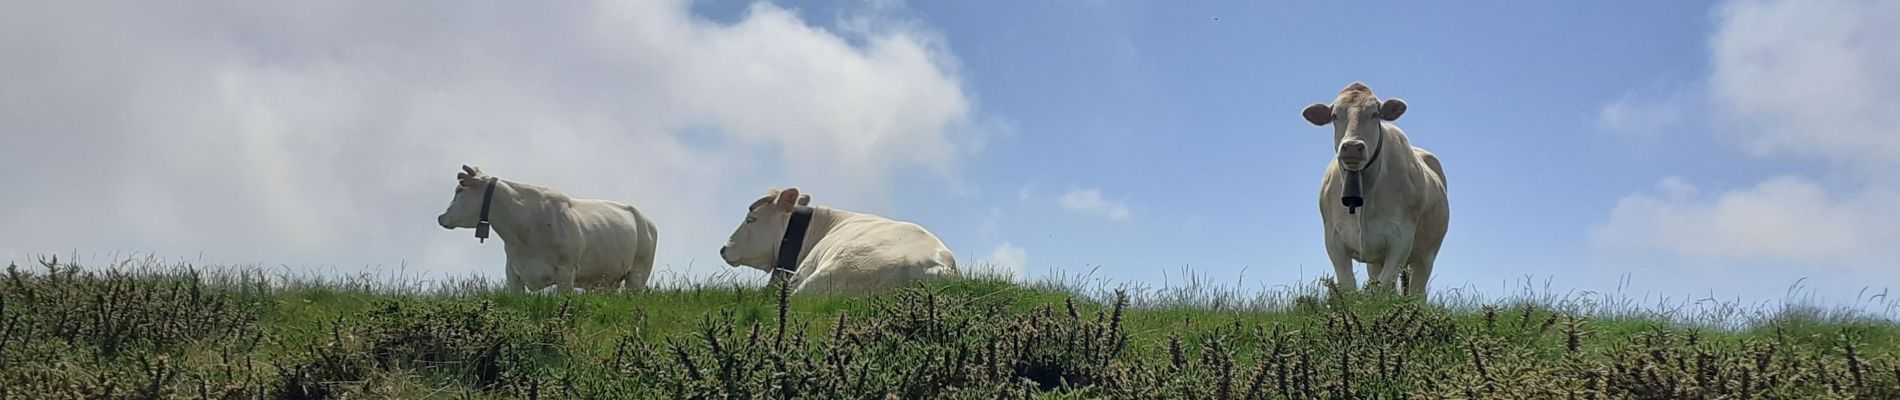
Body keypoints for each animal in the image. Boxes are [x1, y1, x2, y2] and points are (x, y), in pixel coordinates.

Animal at [435, 165, 661, 293]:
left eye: (459, 190)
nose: (441, 217)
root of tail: (647, 221)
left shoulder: (566, 272)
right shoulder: (513, 274)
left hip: (638, 274)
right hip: (608, 279)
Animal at [1299, 82, 1444, 297]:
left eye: (1375, 114)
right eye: (1334, 116)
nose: (1352, 146)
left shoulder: (1401, 240)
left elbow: (1383, 288)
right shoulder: (1333, 240)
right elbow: (1349, 286)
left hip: (1426, 255)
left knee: (1418, 291)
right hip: (1376, 261)